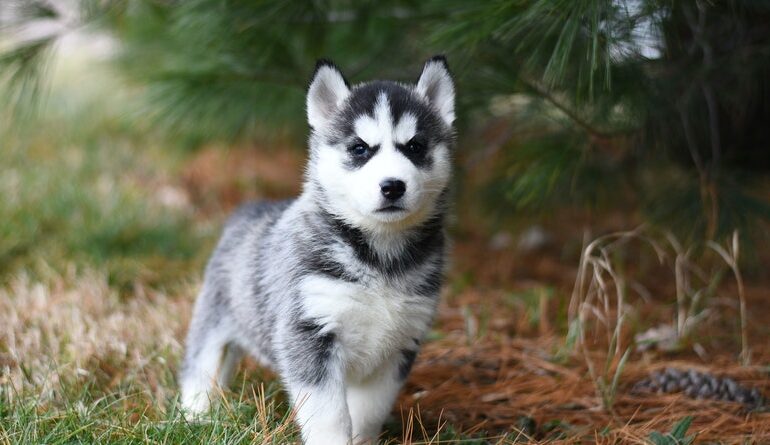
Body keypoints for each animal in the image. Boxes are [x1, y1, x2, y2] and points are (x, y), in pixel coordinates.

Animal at [178, 56, 456, 444]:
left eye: (414, 147)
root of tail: (251, 208)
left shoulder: (399, 346)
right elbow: (329, 415)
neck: (380, 256)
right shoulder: (309, 334)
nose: (392, 186)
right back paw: (196, 416)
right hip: (213, 320)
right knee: (199, 367)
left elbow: (368, 412)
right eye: (359, 148)